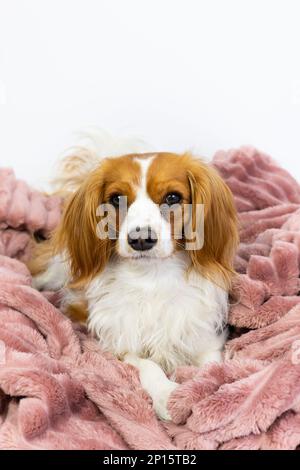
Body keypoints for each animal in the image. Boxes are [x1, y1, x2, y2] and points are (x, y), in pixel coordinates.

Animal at [29, 135, 238, 418]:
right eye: (116, 199)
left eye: (173, 197)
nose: (141, 239)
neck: (152, 278)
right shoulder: (120, 343)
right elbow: (148, 365)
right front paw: (166, 394)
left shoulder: (204, 336)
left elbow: (210, 367)